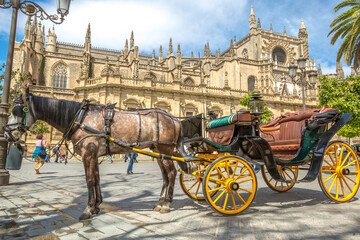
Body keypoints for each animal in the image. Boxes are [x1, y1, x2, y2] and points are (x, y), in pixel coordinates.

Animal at [4, 89, 191, 220]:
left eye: (17, 110)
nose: (6, 133)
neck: (79, 117)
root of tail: (174, 118)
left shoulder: (88, 153)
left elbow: (89, 180)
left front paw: (88, 209)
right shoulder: (93, 154)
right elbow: (96, 178)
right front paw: (96, 206)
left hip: (165, 149)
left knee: (172, 174)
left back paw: (167, 204)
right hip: (159, 151)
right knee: (165, 176)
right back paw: (159, 202)